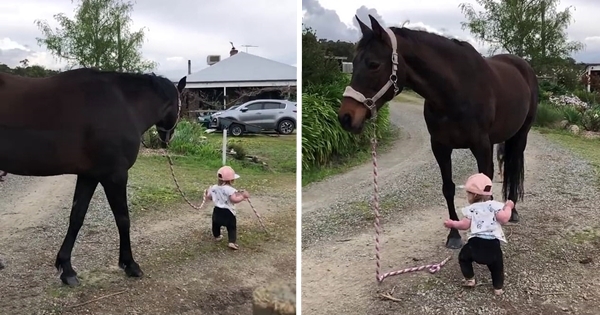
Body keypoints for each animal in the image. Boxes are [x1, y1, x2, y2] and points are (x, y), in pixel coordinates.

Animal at [0, 68, 186, 286]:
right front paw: (130, 264)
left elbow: (76, 217)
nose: (167, 139)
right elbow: (123, 219)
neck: (123, 103)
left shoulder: (89, 176)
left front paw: (67, 269)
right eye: (181, 104)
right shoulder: (115, 176)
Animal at [338, 16, 540, 251]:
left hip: (521, 135)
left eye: (374, 64)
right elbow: (448, 188)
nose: (345, 117)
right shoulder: (440, 146)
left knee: (514, 166)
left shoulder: (481, 146)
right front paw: (453, 235)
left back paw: (513, 210)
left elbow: (485, 187)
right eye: (354, 63)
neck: (456, 90)